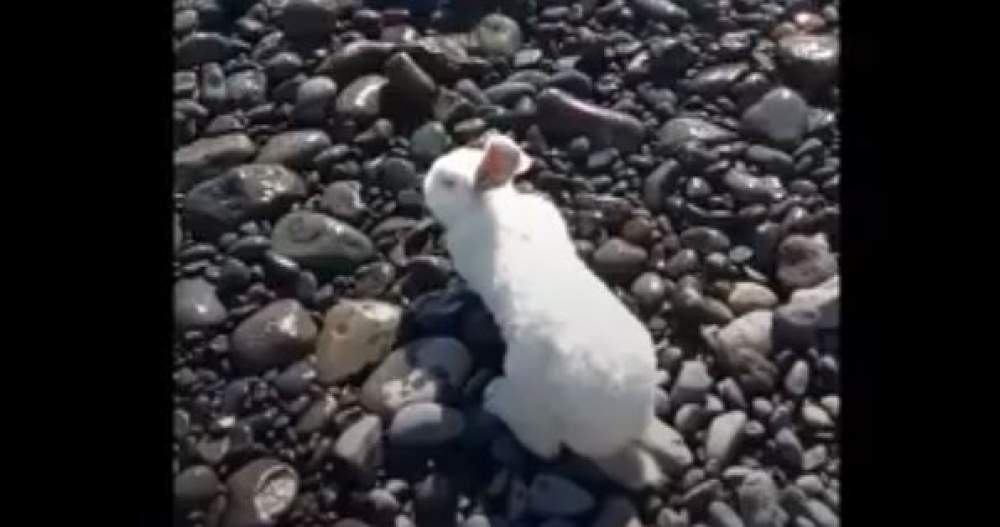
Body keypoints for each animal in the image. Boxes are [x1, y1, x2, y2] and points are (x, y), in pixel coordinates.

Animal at [422, 132, 659, 460]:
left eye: (448, 182)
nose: (426, 180)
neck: (492, 209)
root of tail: (624, 430)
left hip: (525, 377)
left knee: (545, 446)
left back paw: (497, 398)